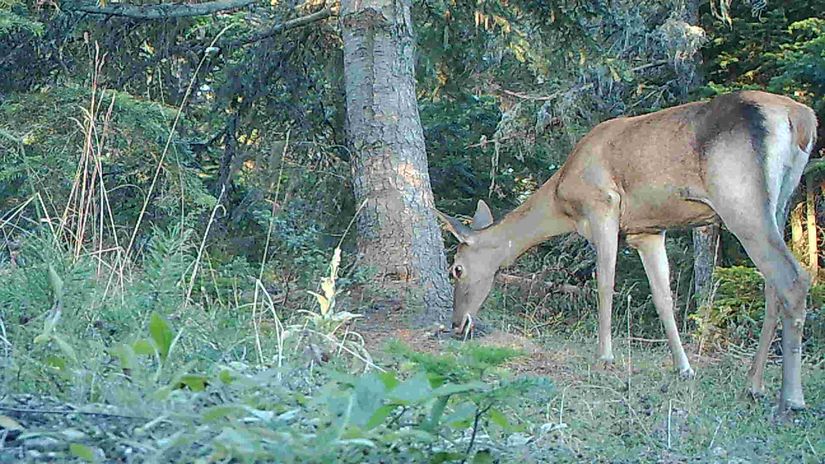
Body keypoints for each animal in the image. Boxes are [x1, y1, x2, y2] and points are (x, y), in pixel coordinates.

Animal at [438, 89, 816, 410]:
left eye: (456, 268)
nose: (456, 324)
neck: (561, 199)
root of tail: (801, 119)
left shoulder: (602, 205)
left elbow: (605, 283)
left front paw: (605, 356)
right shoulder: (646, 231)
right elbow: (663, 297)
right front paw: (683, 367)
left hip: (740, 196)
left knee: (794, 277)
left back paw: (792, 398)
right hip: (780, 200)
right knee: (773, 286)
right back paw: (754, 385)